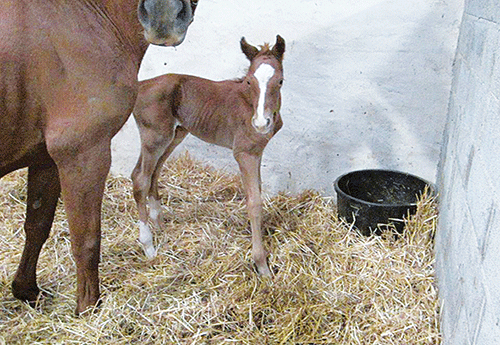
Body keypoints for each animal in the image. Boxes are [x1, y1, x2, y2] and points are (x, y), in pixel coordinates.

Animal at [0, 0, 198, 314]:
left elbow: (37, 225)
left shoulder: (46, 159)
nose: (163, 19)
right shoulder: (84, 154)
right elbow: (87, 240)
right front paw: (89, 307)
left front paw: (26, 290)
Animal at [131, 35, 286, 276]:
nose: (261, 123)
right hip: (154, 137)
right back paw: (149, 246)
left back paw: (159, 225)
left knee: (154, 172)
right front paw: (262, 265)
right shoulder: (244, 153)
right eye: (249, 82)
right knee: (140, 178)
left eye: (279, 81)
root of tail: (141, 85)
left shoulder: (257, 152)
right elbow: (254, 203)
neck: (249, 105)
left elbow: (258, 191)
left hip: (175, 134)